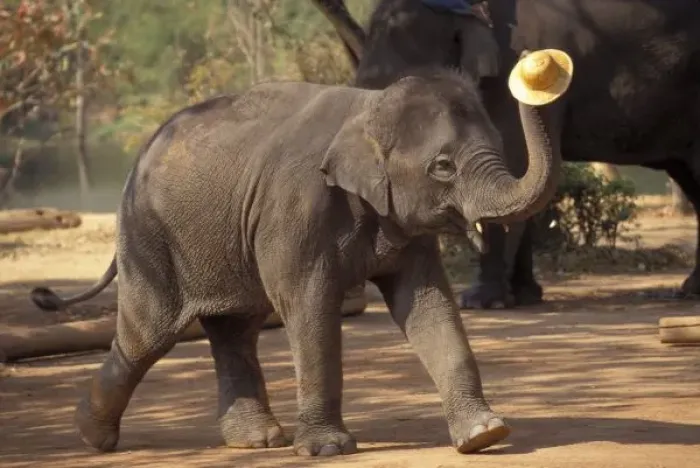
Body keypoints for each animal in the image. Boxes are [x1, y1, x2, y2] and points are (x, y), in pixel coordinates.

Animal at [28, 50, 573, 456]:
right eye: (443, 167)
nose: (535, 65)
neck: (368, 108)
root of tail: (139, 154)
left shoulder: (400, 223)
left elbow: (428, 306)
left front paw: (486, 435)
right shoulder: (294, 208)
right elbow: (309, 307)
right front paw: (329, 450)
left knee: (235, 329)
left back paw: (257, 442)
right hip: (150, 234)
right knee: (149, 334)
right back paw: (93, 437)